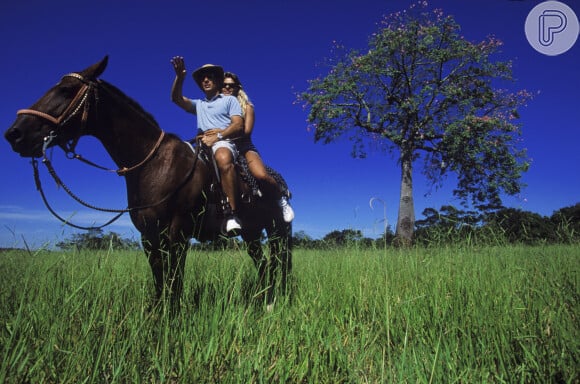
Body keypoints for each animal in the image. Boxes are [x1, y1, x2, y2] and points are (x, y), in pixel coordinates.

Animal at [4, 55, 292, 310]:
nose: (14, 134)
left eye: (65, 90)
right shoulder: (149, 237)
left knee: (279, 264)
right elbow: (160, 283)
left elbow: (174, 283)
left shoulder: (176, 235)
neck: (154, 163)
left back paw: (273, 301)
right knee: (264, 265)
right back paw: (264, 301)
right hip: (252, 232)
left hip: (277, 231)